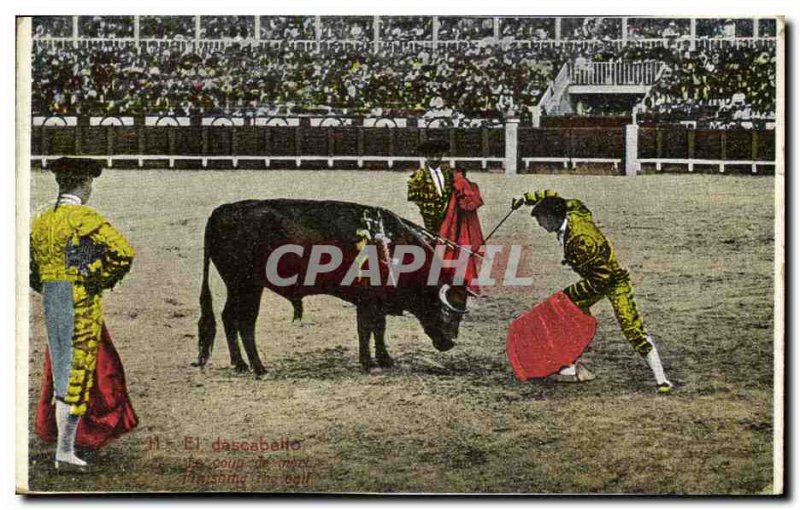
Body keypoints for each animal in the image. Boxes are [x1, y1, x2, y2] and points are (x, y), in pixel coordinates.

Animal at [197, 198, 468, 374]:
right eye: (442, 308)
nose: (449, 343)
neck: (391, 245)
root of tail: (220, 212)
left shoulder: (378, 301)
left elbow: (379, 328)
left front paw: (384, 359)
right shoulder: (367, 300)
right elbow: (366, 329)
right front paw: (368, 363)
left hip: (238, 287)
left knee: (228, 318)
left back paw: (240, 364)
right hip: (247, 286)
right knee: (245, 322)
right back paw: (257, 367)